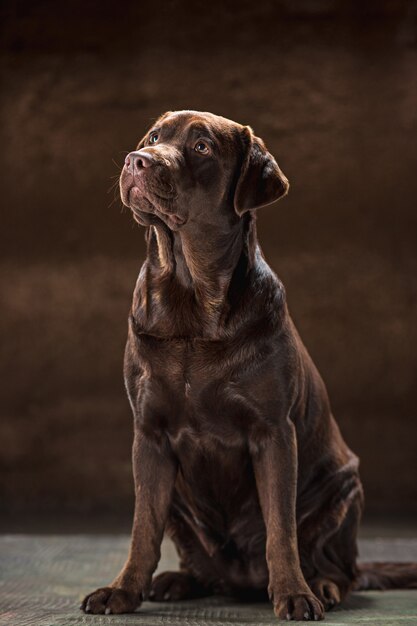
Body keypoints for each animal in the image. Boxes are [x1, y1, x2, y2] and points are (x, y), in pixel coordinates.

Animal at [82, 109, 416, 616]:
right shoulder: (149, 435)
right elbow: (143, 527)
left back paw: (321, 585)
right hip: (183, 505)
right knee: (195, 556)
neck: (192, 299)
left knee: (343, 567)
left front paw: (295, 594)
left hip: (342, 489)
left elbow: (281, 527)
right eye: (154, 137)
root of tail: (241, 579)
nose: (137, 160)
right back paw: (178, 581)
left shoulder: (273, 432)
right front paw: (121, 591)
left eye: (201, 146)